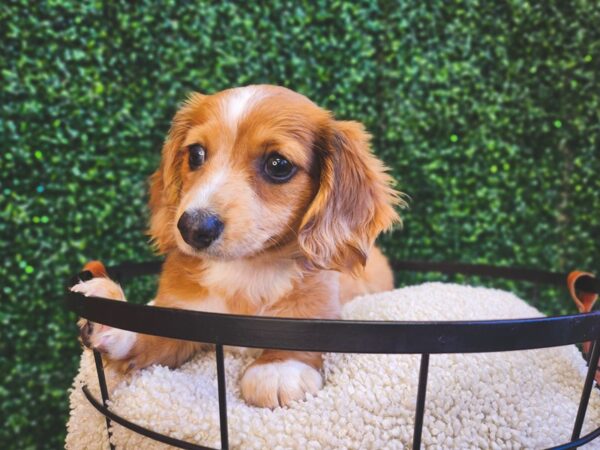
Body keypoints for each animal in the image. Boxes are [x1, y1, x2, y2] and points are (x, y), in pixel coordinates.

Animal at [72, 84, 406, 408]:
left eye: (278, 164)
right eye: (196, 154)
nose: (192, 228)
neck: (245, 269)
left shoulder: (322, 309)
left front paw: (278, 367)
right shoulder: (183, 318)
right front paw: (110, 313)